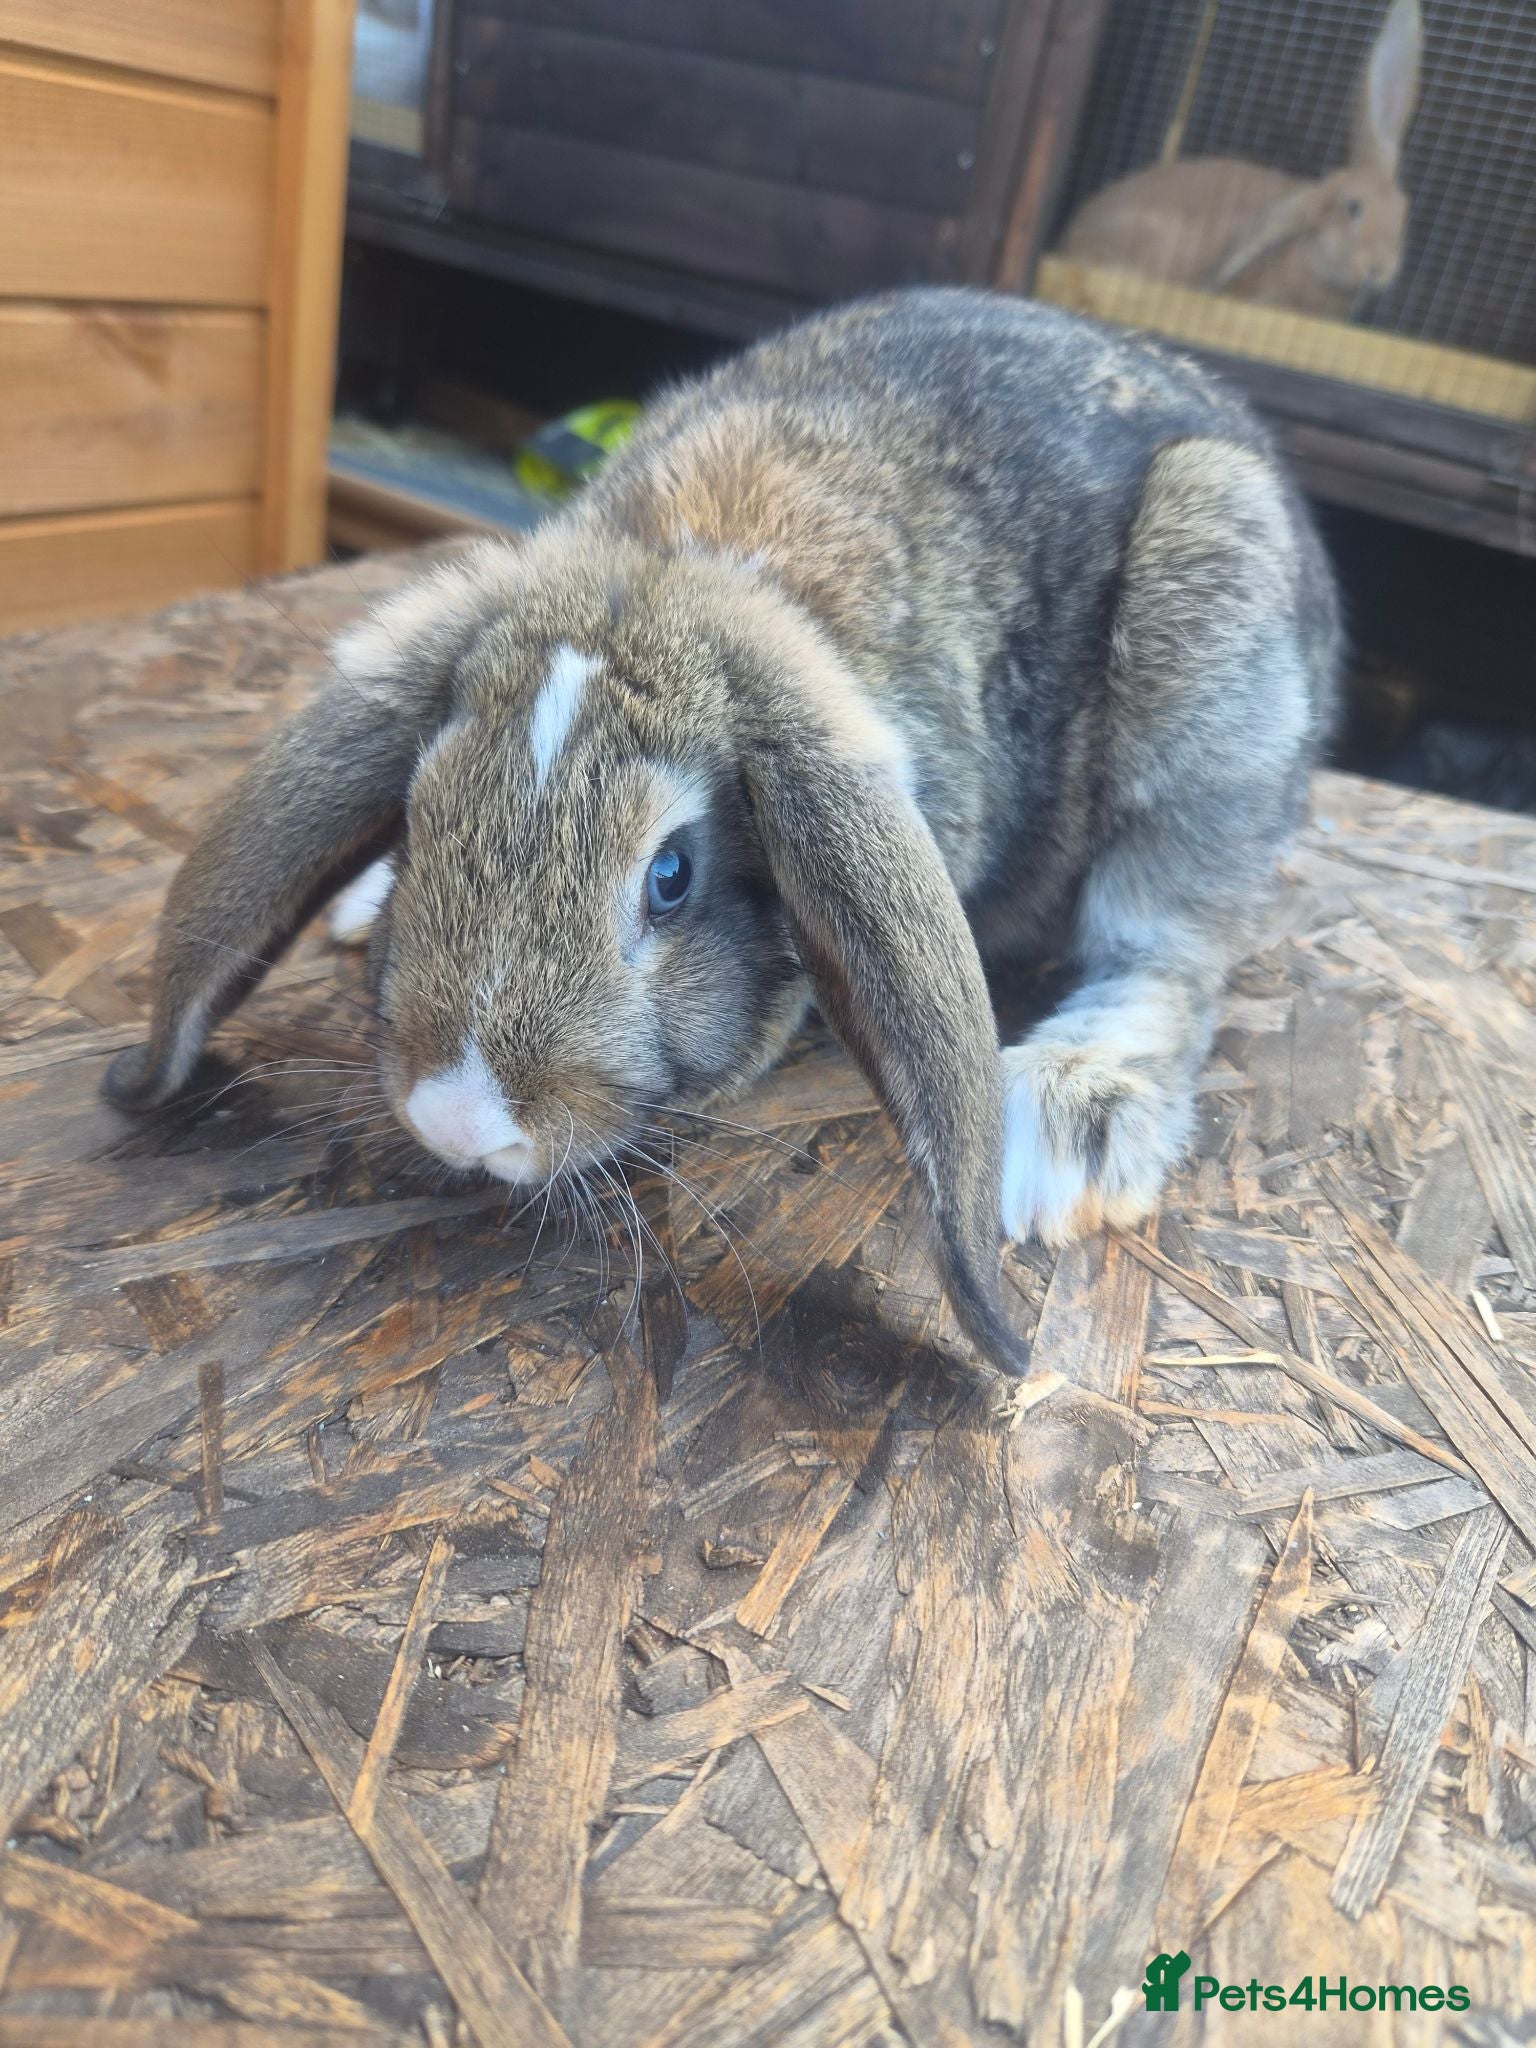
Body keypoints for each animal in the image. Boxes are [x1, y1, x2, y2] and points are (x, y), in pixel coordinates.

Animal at [104, 288, 1340, 1379]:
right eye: (415, 816)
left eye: (671, 874)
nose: (459, 1119)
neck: (678, 561)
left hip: (1209, 647)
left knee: (1170, 945)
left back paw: (1069, 1113)